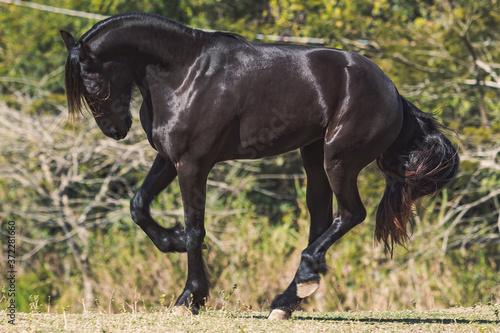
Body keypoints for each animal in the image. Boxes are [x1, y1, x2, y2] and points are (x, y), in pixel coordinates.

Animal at [60, 13, 458, 320]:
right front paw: (170, 242)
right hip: (314, 159)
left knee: (350, 214)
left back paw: (301, 283)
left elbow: (195, 230)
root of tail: (392, 92)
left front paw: (190, 297)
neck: (184, 74)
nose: (115, 131)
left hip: (338, 160)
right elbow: (139, 207)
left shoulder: (193, 164)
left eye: (93, 85)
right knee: (322, 220)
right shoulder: (170, 159)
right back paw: (289, 298)